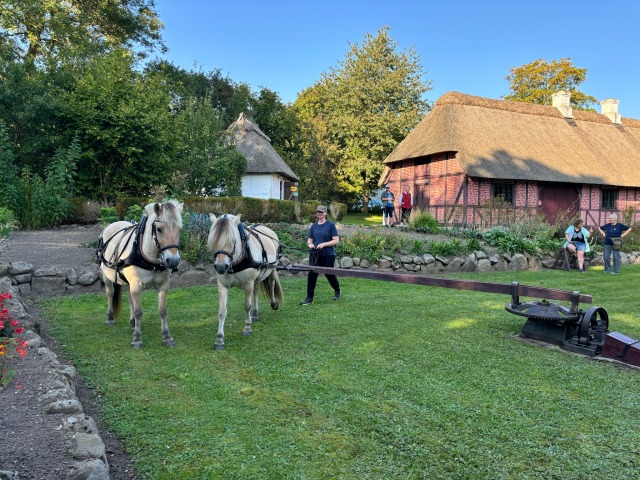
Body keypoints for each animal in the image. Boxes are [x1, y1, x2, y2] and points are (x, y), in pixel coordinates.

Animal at [97, 200, 182, 348]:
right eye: (159, 229)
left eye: (179, 229)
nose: (173, 261)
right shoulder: (136, 285)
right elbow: (138, 312)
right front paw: (137, 339)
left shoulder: (163, 285)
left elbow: (162, 310)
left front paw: (166, 337)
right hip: (107, 276)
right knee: (110, 293)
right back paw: (110, 318)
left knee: (129, 298)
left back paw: (132, 323)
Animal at [208, 214, 282, 348]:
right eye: (213, 241)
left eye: (233, 241)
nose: (221, 267)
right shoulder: (222, 285)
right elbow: (222, 311)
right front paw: (219, 339)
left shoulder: (248, 283)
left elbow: (247, 305)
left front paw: (247, 328)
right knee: (256, 291)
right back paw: (255, 313)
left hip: (272, 268)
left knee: (272, 282)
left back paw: (273, 303)